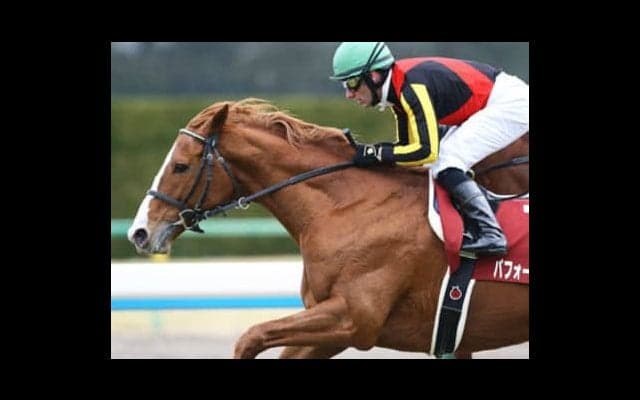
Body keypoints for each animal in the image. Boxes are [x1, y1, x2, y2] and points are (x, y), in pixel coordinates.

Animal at [127, 98, 529, 359]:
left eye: (180, 165)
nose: (140, 232)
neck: (346, 208)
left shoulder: (353, 317)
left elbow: (250, 337)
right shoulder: (328, 331)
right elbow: (259, 339)